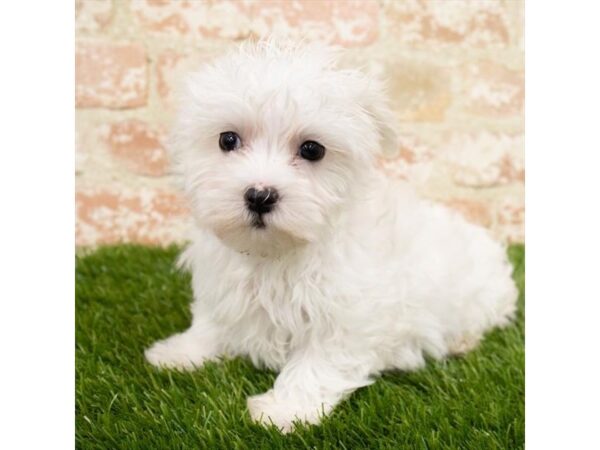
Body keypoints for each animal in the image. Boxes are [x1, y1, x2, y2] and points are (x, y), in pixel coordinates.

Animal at [144, 41, 516, 432]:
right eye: (227, 139)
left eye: (312, 149)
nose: (260, 195)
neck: (274, 255)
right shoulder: (224, 285)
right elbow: (211, 322)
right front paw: (180, 352)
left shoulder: (348, 314)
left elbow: (316, 363)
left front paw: (283, 410)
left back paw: (461, 340)